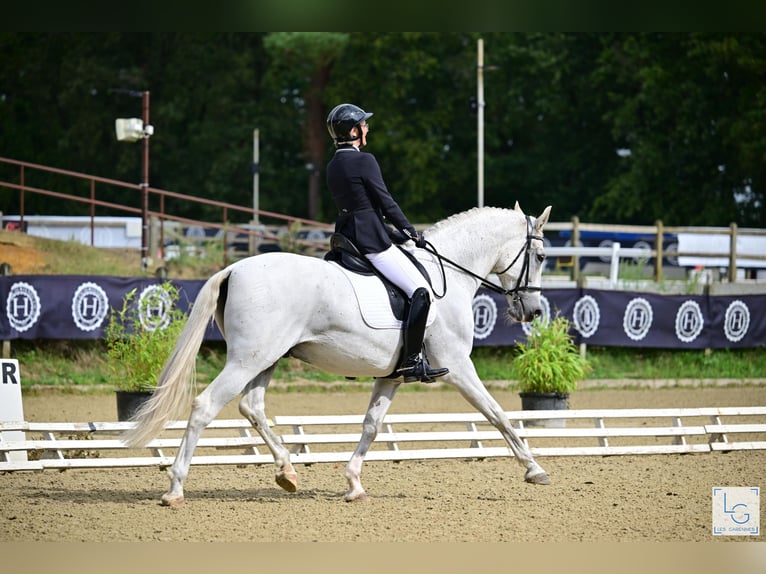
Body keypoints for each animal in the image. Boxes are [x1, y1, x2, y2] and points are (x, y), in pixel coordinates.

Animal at [127, 205, 560, 506]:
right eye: (540, 258)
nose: (532, 312)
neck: (448, 276)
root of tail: (234, 268)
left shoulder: (393, 374)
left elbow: (371, 425)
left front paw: (353, 484)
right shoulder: (458, 368)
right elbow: (498, 413)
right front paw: (535, 469)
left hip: (266, 358)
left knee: (252, 407)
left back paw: (287, 472)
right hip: (247, 359)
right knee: (205, 406)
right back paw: (175, 489)